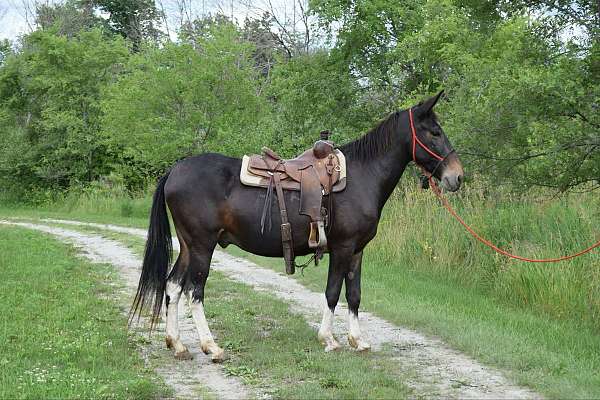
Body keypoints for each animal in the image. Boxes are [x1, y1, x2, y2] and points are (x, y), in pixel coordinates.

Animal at [130, 91, 464, 362]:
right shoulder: (342, 248)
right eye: (434, 132)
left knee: (173, 286)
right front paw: (329, 340)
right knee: (194, 291)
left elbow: (354, 294)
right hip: (202, 246)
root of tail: (174, 170)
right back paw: (211, 347)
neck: (361, 176)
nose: (457, 176)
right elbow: (333, 292)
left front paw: (358, 341)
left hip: (188, 245)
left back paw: (177, 344)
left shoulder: (357, 251)